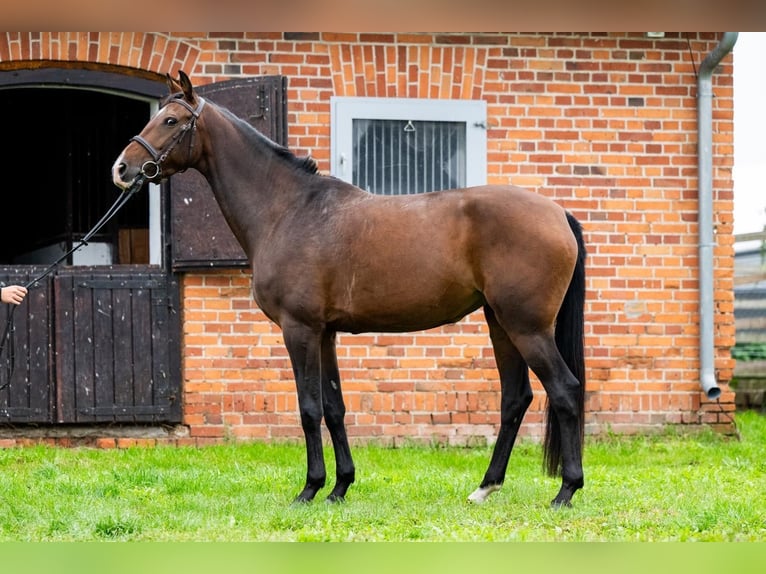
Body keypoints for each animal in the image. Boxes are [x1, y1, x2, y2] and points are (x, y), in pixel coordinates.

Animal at [112, 70, 588, 507]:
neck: (289, 210)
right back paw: (485, 487)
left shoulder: (299, 329)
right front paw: (339, 487)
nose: (121, 169)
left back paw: (565, 491)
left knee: (565, 390)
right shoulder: (325, 333)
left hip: (526, 327)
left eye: (171, 120)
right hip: (500, 323)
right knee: (516, 399)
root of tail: (558, 213)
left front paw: (309, 489)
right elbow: (334, 408)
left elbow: (308, 408)